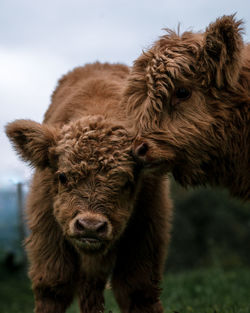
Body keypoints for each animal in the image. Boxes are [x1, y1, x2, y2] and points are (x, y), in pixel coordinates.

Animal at [6, 63, 174, 312]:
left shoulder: (146, 233)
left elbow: (138, 291)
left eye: (127, 182)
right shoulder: (48, 235)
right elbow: (52, 288)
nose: (90, 226)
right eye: (63, 176)